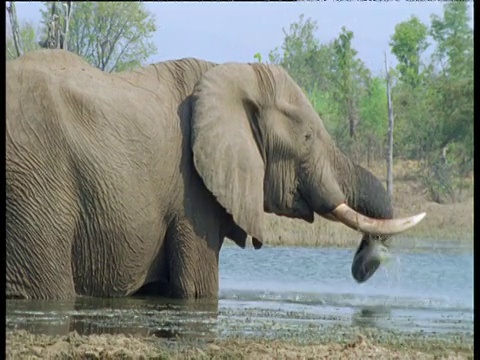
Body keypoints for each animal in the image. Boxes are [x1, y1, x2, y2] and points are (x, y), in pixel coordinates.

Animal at [3, 49, 424, 300]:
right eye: (307, 138)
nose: (364, 265)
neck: (231, 74)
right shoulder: (191, 192)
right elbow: (198, 290)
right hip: (34, 183)